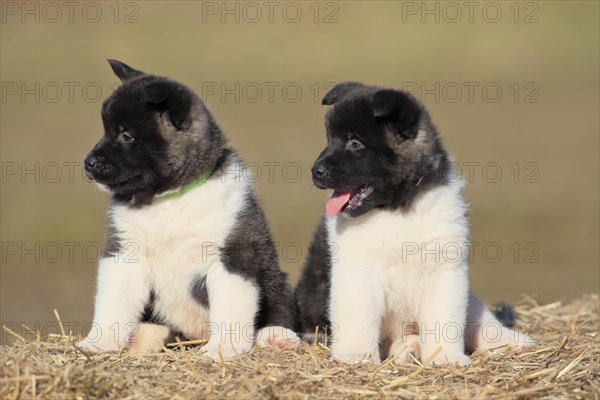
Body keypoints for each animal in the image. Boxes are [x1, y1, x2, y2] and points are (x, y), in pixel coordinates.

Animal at [296, 83, 536, 368]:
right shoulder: (358, 272)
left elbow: (445, 321)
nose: (315, 171)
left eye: (355, 143)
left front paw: (446, 357)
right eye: (329, 139)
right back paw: (408, 347)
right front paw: (356, 355)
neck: (397, 210)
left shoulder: (444, 271)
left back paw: (510, 341)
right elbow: (358, 317)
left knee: (480, 321)